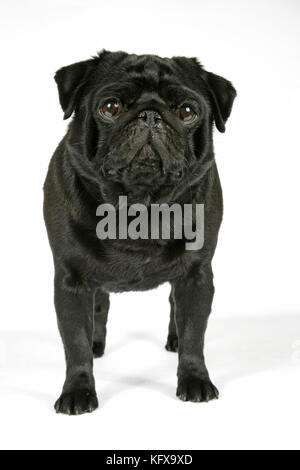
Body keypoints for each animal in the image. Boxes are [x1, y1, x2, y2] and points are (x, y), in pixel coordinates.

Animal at [44, 50, 237, 414]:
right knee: (100, 304)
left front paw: (195, 379)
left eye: (186, 111)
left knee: (175, 306)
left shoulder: (197, 276)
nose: (150, 115)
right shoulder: (71, 281)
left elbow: (194, 333)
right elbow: (74, 343)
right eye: (110, 107)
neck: (139, 206)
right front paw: (77, 390)